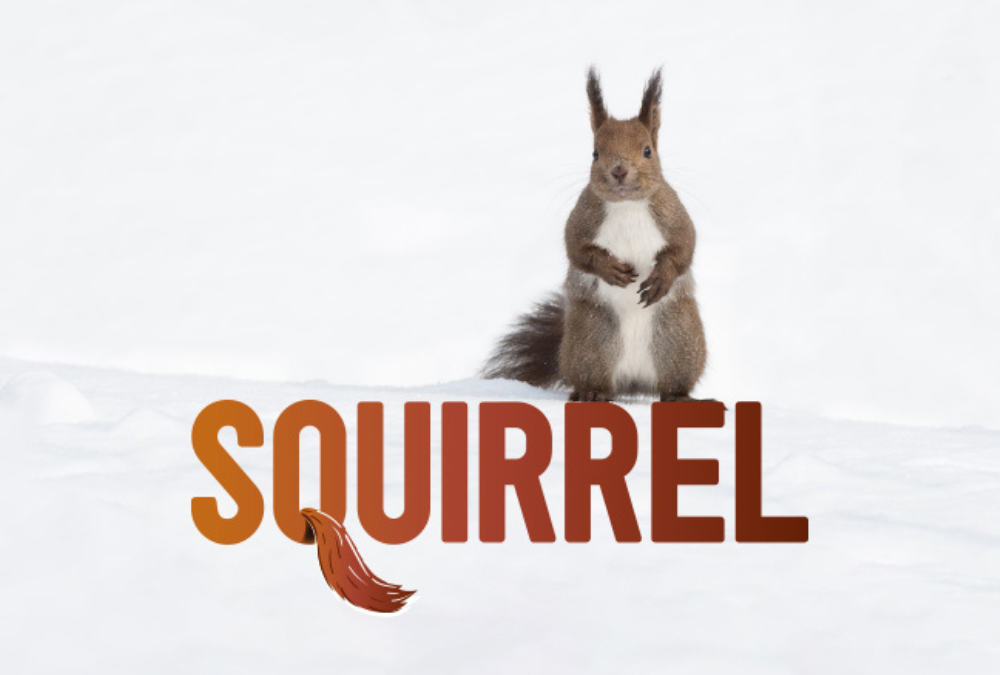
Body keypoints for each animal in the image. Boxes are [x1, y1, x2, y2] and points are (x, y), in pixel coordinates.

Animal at [484, 67, 708, 403]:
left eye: (647, 151)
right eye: (595, 152)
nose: (618, 170)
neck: (627, 205)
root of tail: (633, 383)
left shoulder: (673, 215)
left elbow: (684, 248)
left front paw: (662, 277)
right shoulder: (582, 218)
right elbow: (577, 250)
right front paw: (608, 268)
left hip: (679, 339)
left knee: (672, 384)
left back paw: (680, 398)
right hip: (591, 339)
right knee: (594, 378)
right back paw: (592, 393)